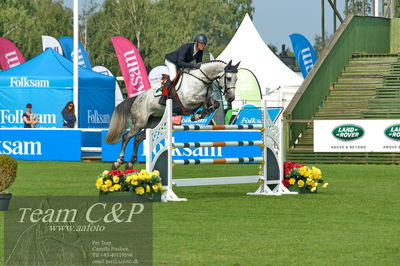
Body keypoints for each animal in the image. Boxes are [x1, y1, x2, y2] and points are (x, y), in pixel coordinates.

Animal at [104, 59, 239, 168]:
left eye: (236, 79)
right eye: (228, 78)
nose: (231, 98)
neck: (201, 80)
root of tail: (137, 98)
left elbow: (213, 103)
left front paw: (200, 114)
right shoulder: (188, 101)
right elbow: (205, 101)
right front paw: (199, 115)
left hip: (152, 124)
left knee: (137, 138)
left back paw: (130, 163)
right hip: (139, 123)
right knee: (126, 137)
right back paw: (118, 162)